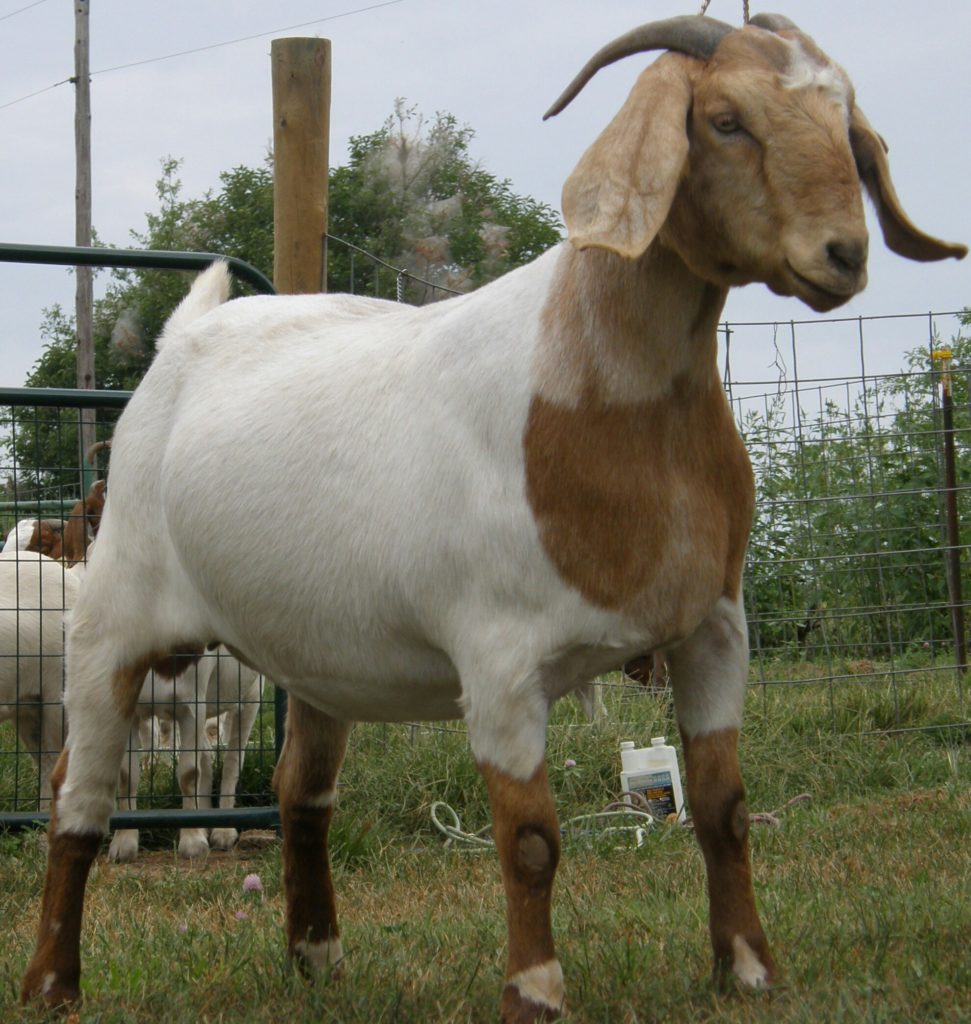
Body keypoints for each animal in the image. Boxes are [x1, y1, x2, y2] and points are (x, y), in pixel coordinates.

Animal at [22, 14, 965, 1018]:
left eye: (845, 122)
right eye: (724, 120)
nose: (843, 255)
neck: (594, 394)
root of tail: (186, 335)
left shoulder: (714, 626)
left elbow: (725, 810)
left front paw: (747, 968)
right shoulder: (499, 660)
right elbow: (531, 841)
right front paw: (536, 989)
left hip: (315, 652)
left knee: (299, 791)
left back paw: (316, 957)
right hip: (116, 619)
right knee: (77, 793)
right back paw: (52, 981)